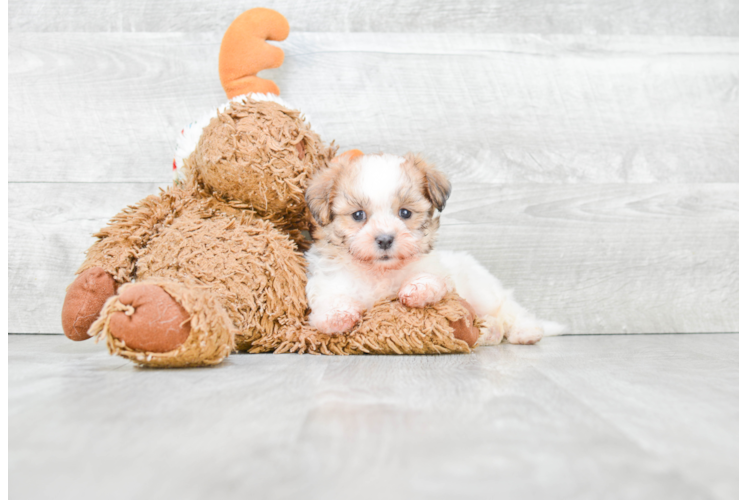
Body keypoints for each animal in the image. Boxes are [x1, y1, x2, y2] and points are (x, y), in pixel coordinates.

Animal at [304, 152, 560, 344]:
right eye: (358, 215)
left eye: (405, 213)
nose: (385, 239)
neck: (379, 272)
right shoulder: (330, 280)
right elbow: (330, 296)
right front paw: (336, 316)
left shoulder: (436, 269)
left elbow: (429, 276)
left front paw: (418, 289)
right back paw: (489, 332)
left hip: (481, 290)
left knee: (508, 307)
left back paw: (526, 331)